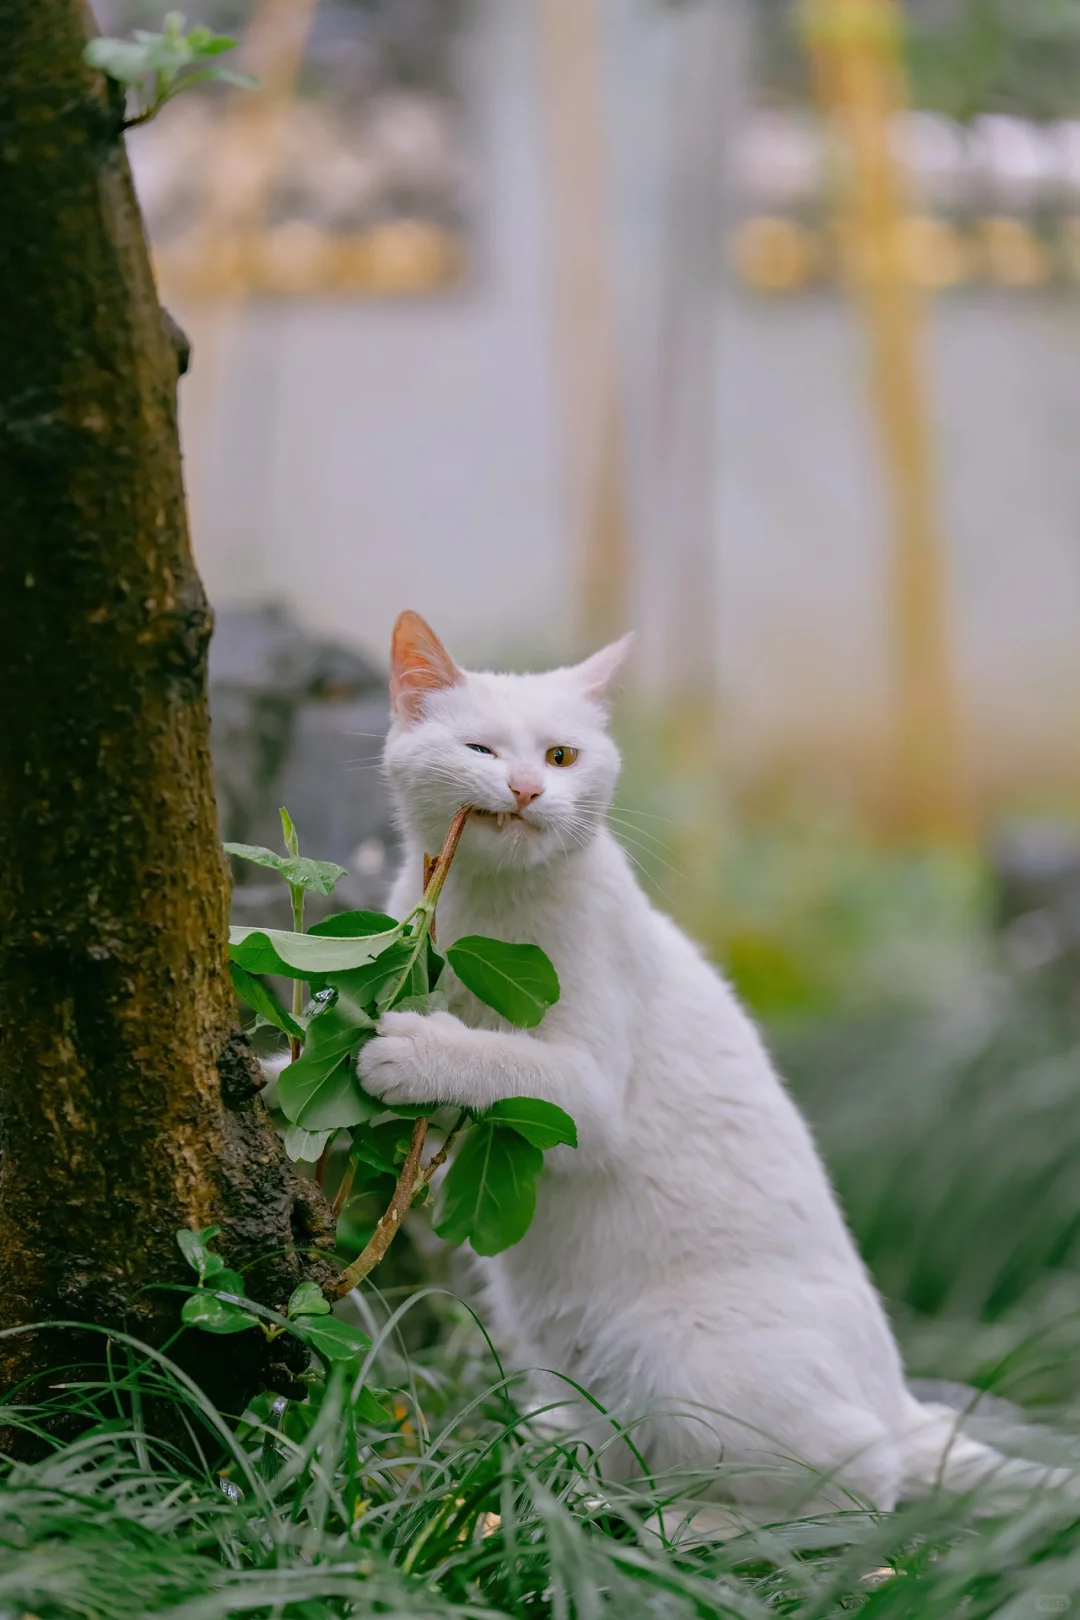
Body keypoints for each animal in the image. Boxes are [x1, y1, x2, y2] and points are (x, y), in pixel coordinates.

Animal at [361, 609, 1062, 1516]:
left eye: (561, 757)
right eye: (482, 750)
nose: (524, 790)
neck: (488, 911)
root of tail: (895, 1395)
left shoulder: (588, 1085)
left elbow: (503, 1061)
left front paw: (411, 1048)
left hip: (687, 1358)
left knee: (859, 1485)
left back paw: (688, 1524)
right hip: (578, 1372)